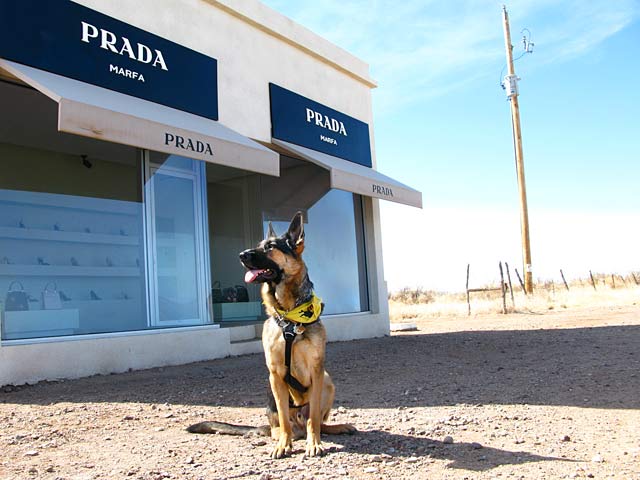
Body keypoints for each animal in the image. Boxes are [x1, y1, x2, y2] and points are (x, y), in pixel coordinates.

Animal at [188, 213, 358, 458]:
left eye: (270, 247)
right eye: (259, 245)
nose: (241, 255)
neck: (290, 318)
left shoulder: (317, 370)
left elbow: (314, 419)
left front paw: (314, 443)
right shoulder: (276, 373)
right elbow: (285, 421)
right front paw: (284, 445)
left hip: (327, 381)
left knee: (316, 421)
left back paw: (335, 428)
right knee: (280, 427)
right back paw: (283, 436)